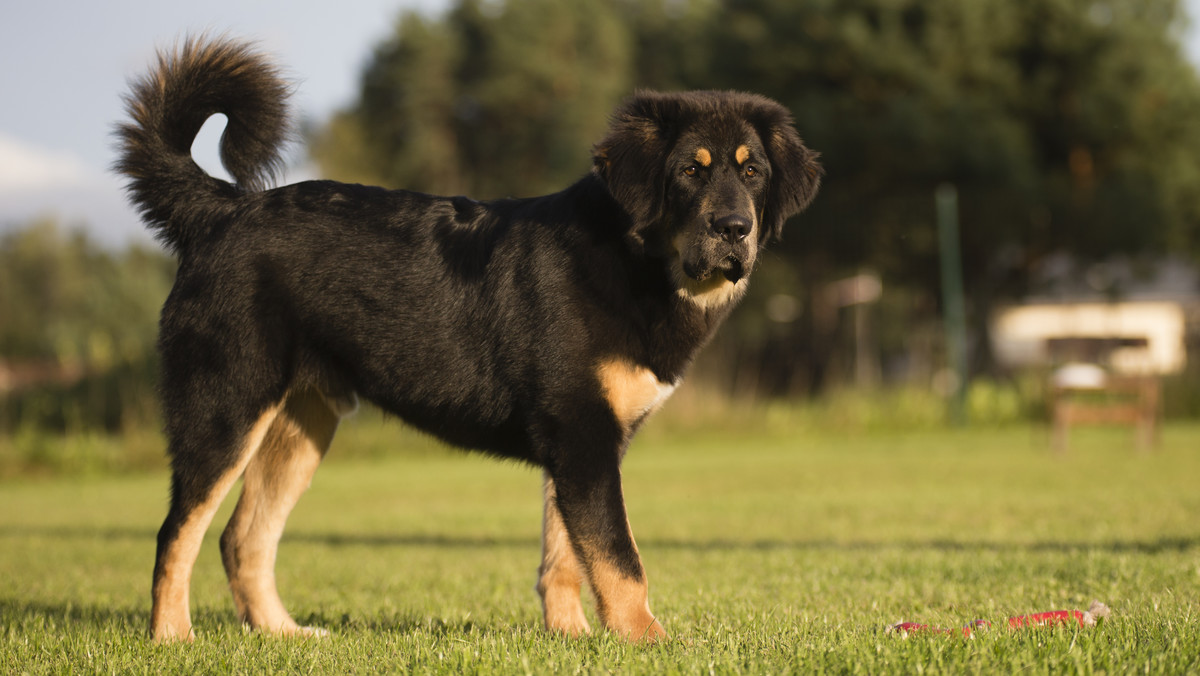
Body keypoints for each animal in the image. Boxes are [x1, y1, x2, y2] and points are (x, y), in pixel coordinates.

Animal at [117, 38, 820, 643]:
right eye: (689, 173)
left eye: (752, 172)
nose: (735, 229)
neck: (634, 260)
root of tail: (223, 211)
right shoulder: (583, 436)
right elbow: (620, 557)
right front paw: (650, 641)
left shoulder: (580, 444)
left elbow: (567, 556)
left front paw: (572, 638)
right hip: (226, 407)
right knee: (176, 532)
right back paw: (172, 637)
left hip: (302, 422)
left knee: (242, 537)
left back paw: (285, 635)